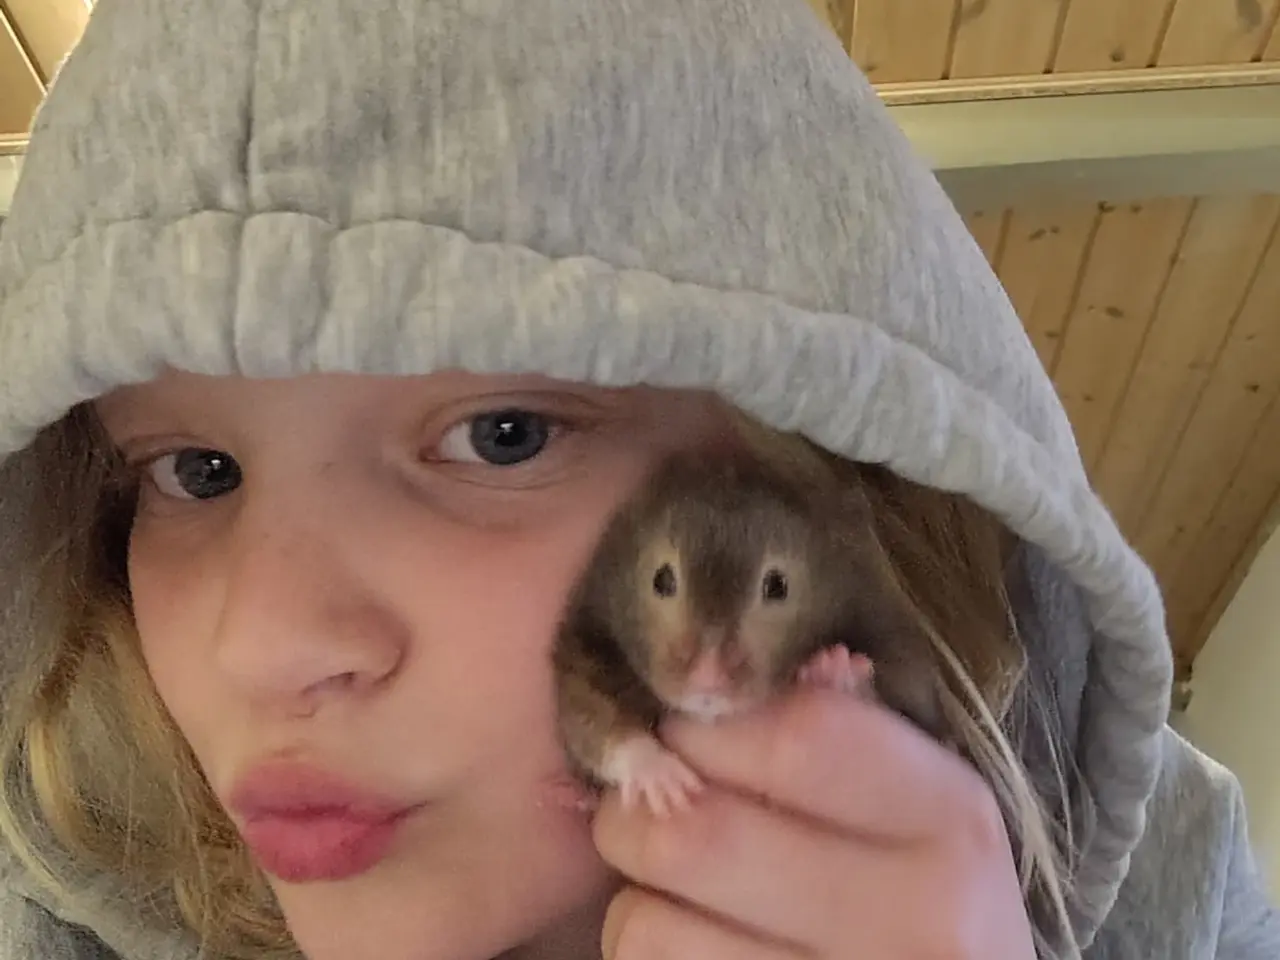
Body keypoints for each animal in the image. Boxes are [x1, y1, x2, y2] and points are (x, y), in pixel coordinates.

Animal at [551, 430, 949, 816]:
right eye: (661, 579)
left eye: (777, 586)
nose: (706, 682)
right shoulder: (588, 637)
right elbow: (592, 714)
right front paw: (663, 781)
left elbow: (907, 711)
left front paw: (836, 668)